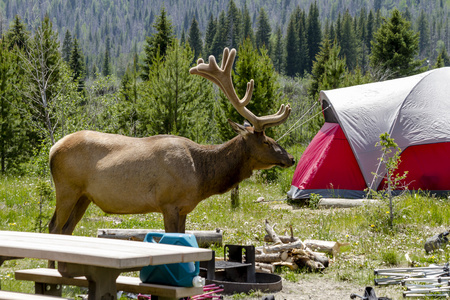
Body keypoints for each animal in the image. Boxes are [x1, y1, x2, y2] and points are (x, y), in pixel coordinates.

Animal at [48, 47, 296, 234]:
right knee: (54, 227)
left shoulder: (184, 207)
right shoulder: (168, 203)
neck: (202, 176)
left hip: (84, 196)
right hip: (67, 188)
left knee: (66, 229)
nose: (291, 158)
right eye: (266, 141)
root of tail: (52, 149)